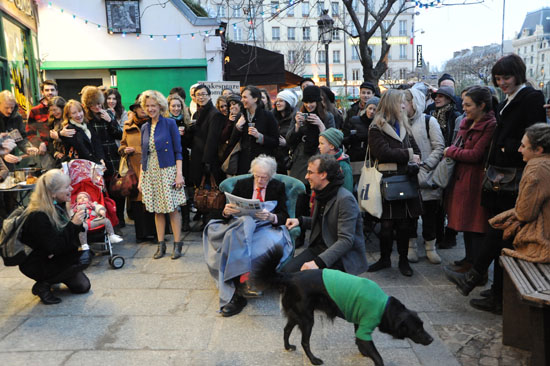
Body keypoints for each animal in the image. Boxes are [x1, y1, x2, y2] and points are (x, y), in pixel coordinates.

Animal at [252, 247, 434, 364]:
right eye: (418, 329)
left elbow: (360, 342)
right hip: (307, 319)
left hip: (297, 315)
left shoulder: (359, 324)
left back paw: (288, 347)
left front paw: (363, 352)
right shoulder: (365, 327)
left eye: (423, 325)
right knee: (305, 342)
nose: (431, 339)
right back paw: (314, 360)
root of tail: (290, 277)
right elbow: (377, 356)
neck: (385, 307)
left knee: (286, 330)